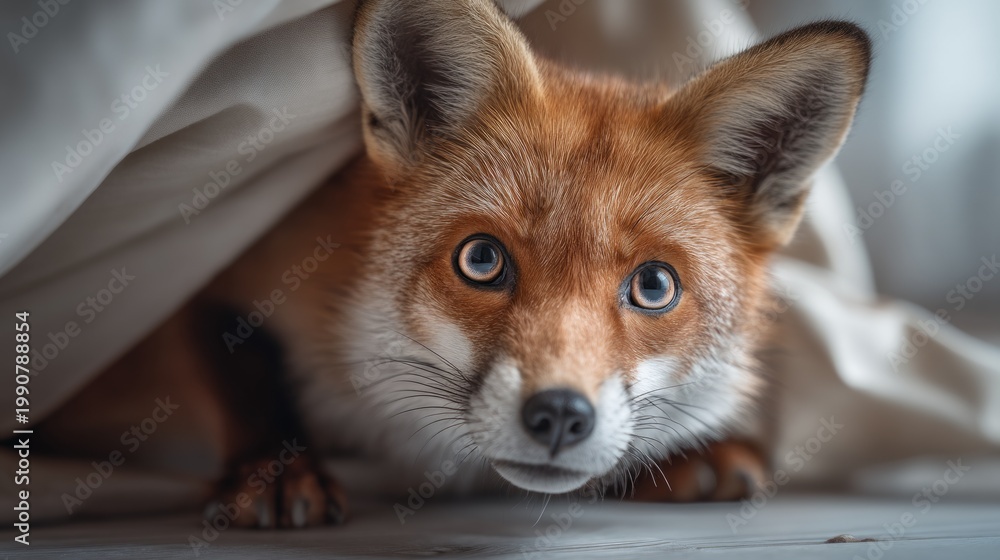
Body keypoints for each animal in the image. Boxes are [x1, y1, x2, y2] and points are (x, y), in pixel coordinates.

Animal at [28, 0, 870, 529]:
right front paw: (273, 467)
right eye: (482, 260)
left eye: (655, 285)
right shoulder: (202, 281)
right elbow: (240, 375)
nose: (559, 416)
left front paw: (693, 454)